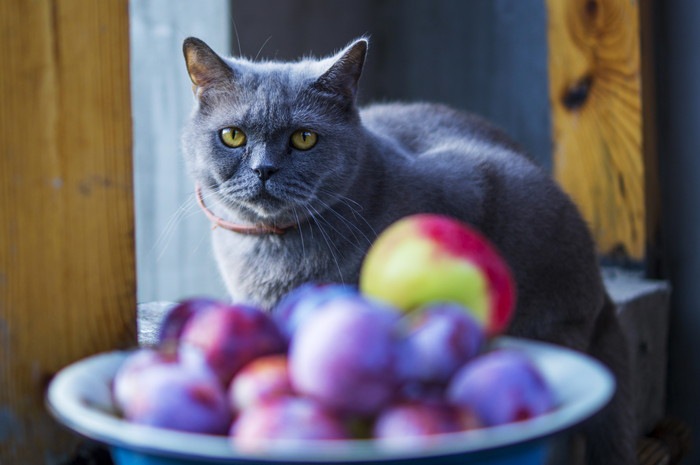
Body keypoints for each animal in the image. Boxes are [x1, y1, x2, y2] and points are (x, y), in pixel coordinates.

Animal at [183, 37, 636, 464]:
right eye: (233, 136)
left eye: (304, 138)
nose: (264, 169)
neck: (270, 251)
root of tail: (604, 301)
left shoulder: (473, 179)